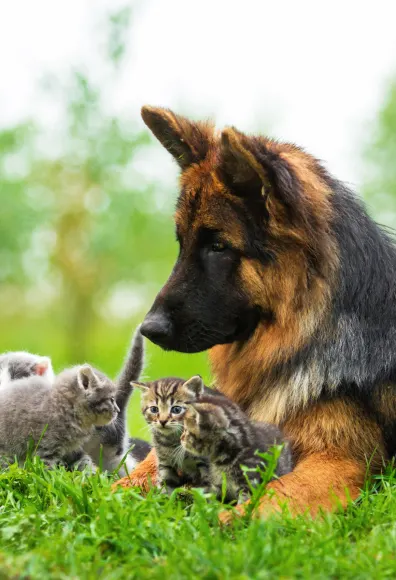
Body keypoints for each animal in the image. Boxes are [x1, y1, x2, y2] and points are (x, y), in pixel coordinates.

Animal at [114, 106, 396, 520]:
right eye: (182, 244)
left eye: (218, 246)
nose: (149, 330)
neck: (299, 336)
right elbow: (127, 480)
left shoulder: (339, 460)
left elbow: (272, 497)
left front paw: (228, 521)